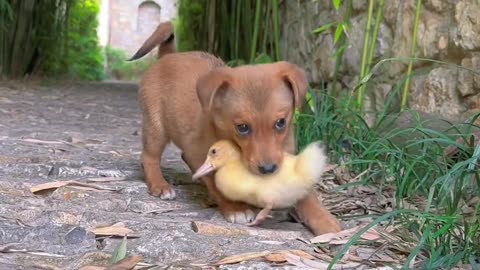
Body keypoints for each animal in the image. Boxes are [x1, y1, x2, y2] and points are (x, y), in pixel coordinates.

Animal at [131, 22, 342, 235]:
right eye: (243, 127)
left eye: (281, 122)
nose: (268, 169)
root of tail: (168, 56)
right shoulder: (198, 153)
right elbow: (216, 185)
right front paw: (235, 208)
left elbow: (306, 192)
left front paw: (324, 220)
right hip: (156, 128)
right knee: (149, 157)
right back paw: (160, 185)